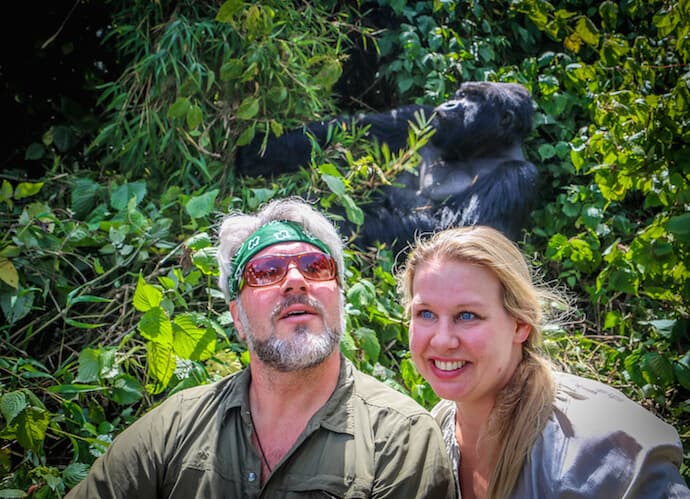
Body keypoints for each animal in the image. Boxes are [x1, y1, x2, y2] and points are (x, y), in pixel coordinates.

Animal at [235, 83, 536, 254]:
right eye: (461, 94)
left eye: (472, 99)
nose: (450, 103)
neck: (478, 149)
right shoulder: (421, 116)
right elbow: (351, 129)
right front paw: (258, 151)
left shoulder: (520, 176)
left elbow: (460, 231)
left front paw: (334, 220)